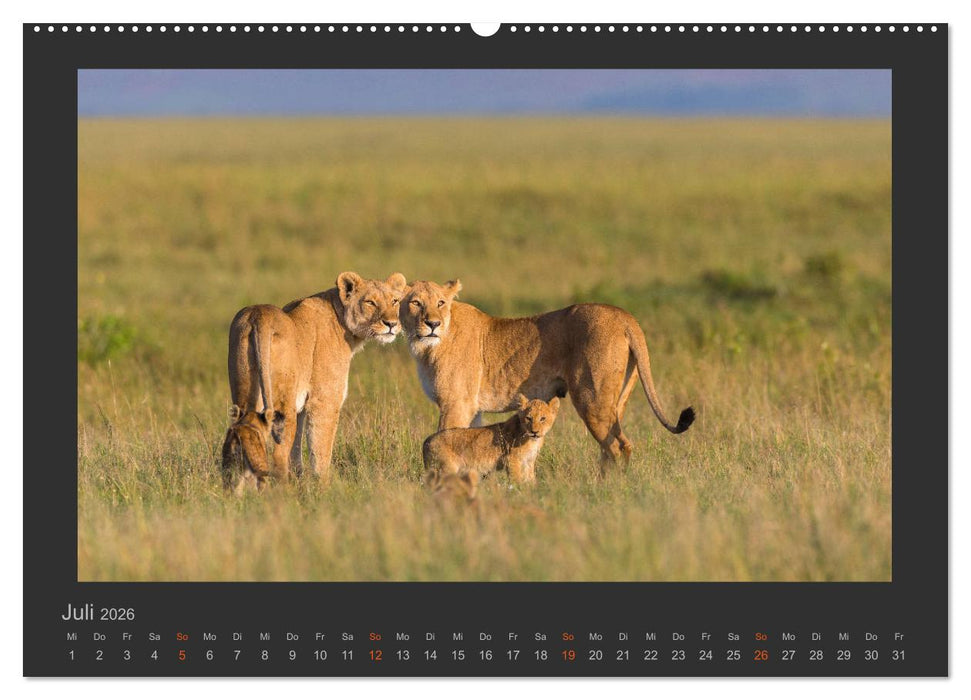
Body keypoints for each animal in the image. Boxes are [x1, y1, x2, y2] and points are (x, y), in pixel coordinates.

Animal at [226, 271, 407, 484]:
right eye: (370, 302)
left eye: (395, 301)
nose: (392, 324)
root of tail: (258, 314)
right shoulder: (324, 401)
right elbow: (320, 449)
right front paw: (326, 486)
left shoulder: (301, 407)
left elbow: (296, 450)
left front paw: (300, 478)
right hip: (282, 406)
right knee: (279, 453)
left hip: (246, 400)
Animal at [401, 279, 694, 469]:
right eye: (415, 303)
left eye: (440, 302)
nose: (432, 323)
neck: (426, 347)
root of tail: (624, 315)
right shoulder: (472, 408)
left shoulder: (455, 404)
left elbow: (445, 437)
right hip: (616, 400)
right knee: (613, 444)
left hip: (591, 398)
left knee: (617, 446)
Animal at [423, 394, 560, 484]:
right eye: (529, 418)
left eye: (543, 418)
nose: (534, 432)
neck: (532, 441)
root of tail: (427, 440)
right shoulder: (511, 459)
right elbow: (516, 480)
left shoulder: (529, 461)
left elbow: (531, 479)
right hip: (447, 468)